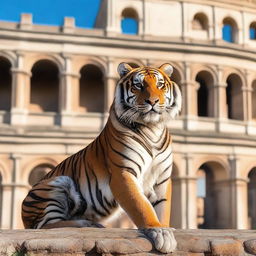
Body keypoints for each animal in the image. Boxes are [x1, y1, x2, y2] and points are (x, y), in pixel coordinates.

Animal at [22, 62, 182, 254]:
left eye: (160, 85)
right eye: (138, 85)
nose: (153, 102)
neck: (153, 129)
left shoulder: (162, 178)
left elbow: (162, 207)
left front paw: (165, 229)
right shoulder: (123, 174)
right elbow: (141, 206)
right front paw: (158, 231)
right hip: (56, 184)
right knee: (45, 226)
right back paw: (85, 223)